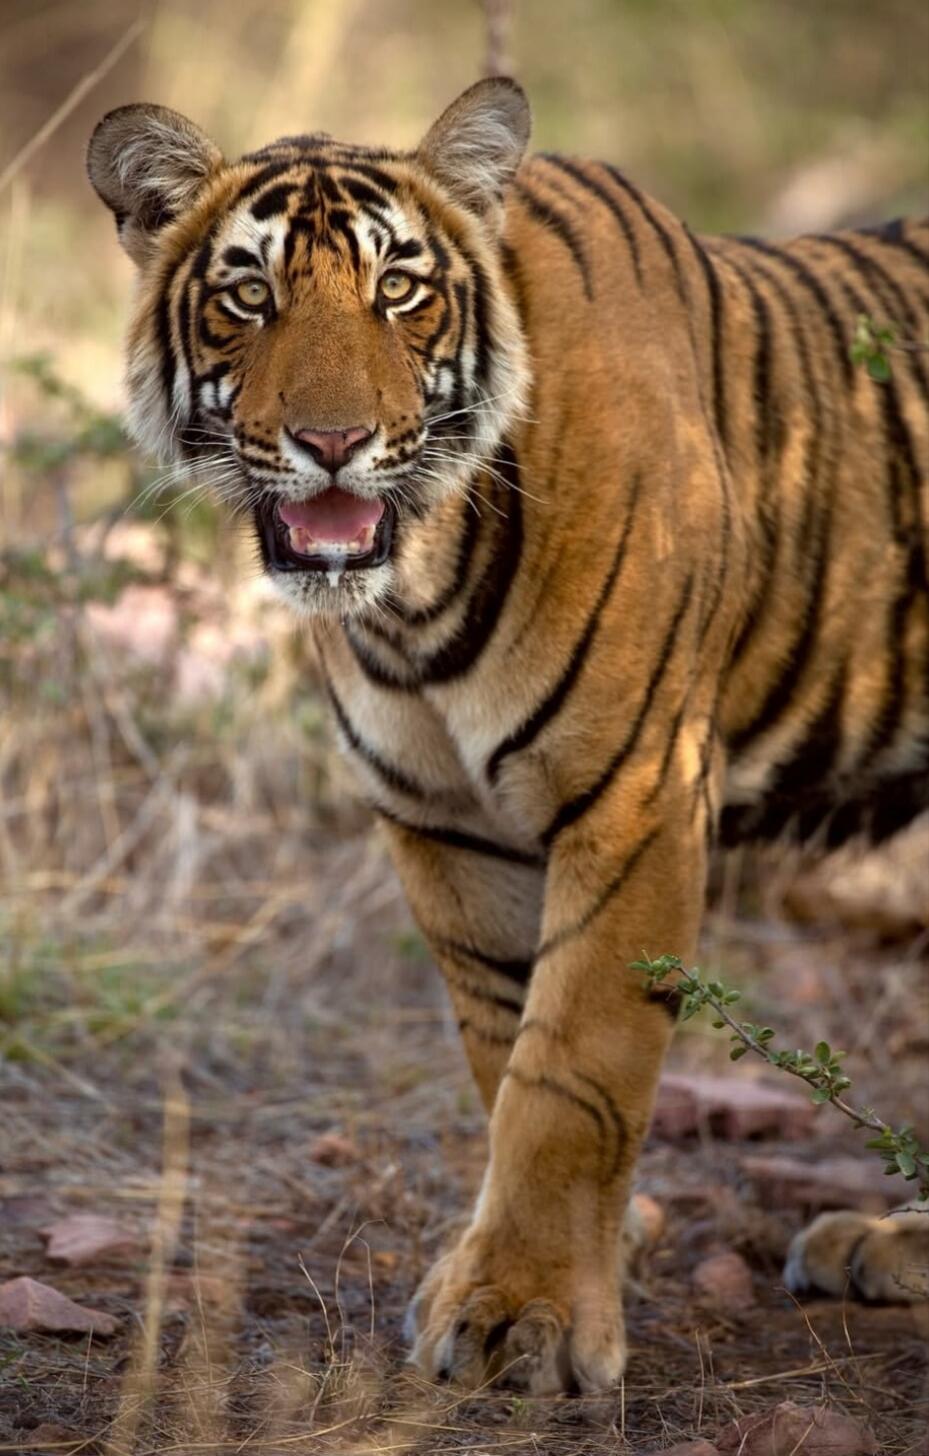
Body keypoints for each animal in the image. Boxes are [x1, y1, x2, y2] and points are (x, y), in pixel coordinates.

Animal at [87, 77, 929, 1395]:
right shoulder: (444, 822)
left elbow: (571, 1064)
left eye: (398, 288)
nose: (333, 442)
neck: (417, 595)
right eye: (249, 295)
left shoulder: (633, 795)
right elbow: (501, 1052)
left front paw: (519, 1314)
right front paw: (533, 1263)